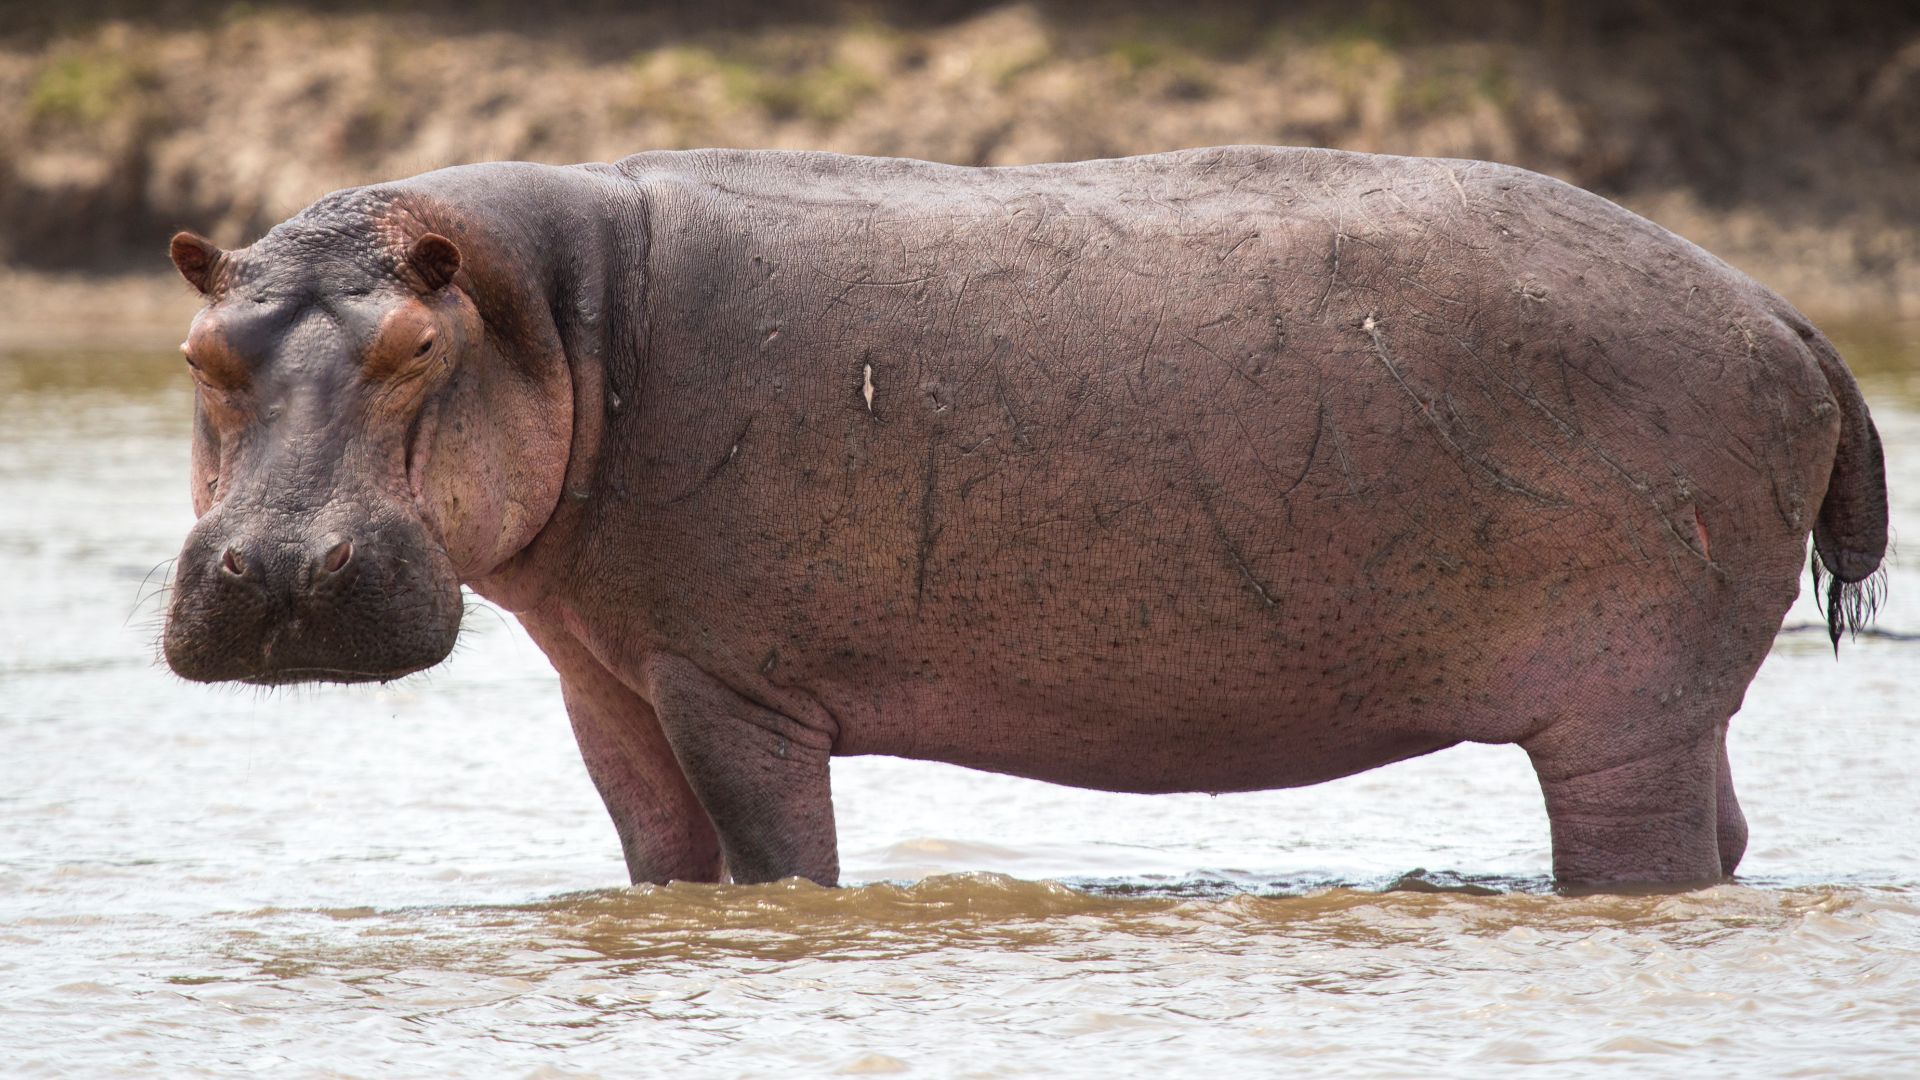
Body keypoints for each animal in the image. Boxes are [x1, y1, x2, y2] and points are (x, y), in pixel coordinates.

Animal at [161, 146, 1887, 888]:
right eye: (198, 352)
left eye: (413, 348)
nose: (280, 574)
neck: (559, 317)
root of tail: (1785, 313)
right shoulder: (610, 680)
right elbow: (662, 862)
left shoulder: (733, 685)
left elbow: (778, 862)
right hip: (1674, 699)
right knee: (1726, 837)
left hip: (1623, 706)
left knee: (1646, 848)